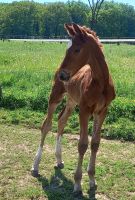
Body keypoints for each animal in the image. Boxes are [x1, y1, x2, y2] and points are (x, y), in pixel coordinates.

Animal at [31, 23, 115, 194]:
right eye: (66, 49)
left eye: (77, 50)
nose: (63, 75)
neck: (100, 83)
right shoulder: (84, 110)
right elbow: (82, 144)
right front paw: (77, 184)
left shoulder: (102, 111)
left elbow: (95, 143)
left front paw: (92, 180)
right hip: (55, 96)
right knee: (46, 125)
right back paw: (35, 166)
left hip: (71, 101)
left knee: (61, 121)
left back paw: (59, 159)